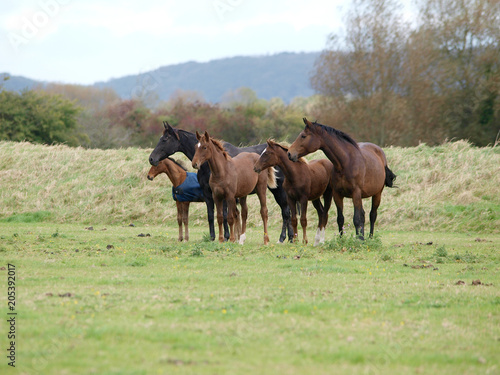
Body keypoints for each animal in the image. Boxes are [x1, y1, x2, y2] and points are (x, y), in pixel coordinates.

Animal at [148, 122, 292, 244]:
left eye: (165, 139)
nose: (151, 159)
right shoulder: (208, 193)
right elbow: (212, 216)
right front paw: (213, 237)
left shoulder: (225, 195)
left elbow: (226, 214)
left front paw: (228, 237)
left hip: (277, 190)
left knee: (285, 211)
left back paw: (284, 238)